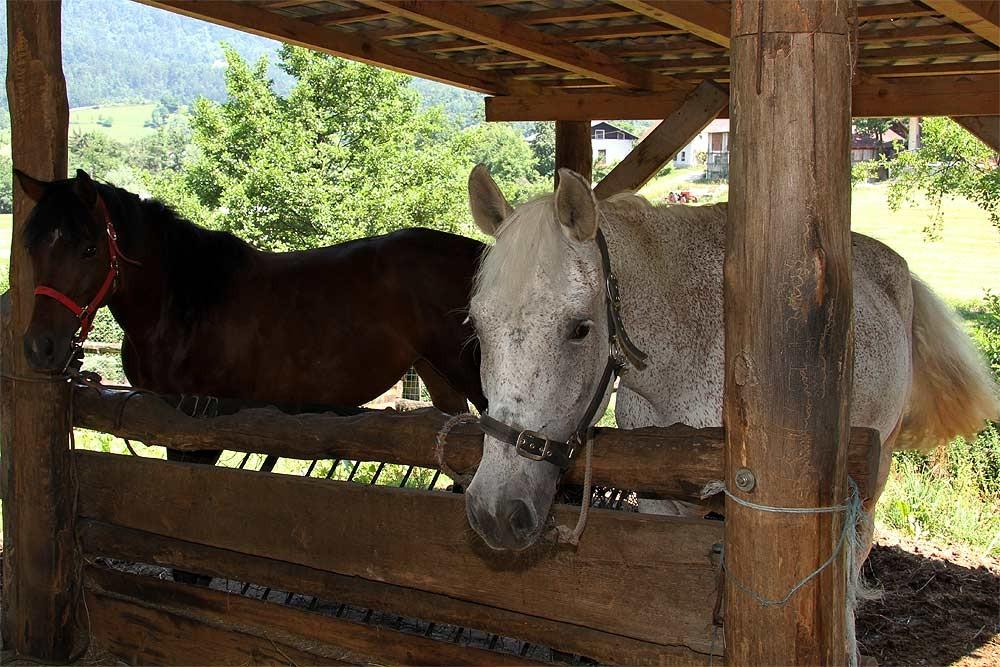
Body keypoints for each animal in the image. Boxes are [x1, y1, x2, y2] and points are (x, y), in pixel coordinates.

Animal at [14, 171, 484, 460]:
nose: (41, 347)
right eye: (32, 247)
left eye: (89, 248)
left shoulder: (200, 426)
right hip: (439, 376)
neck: (182, 305)